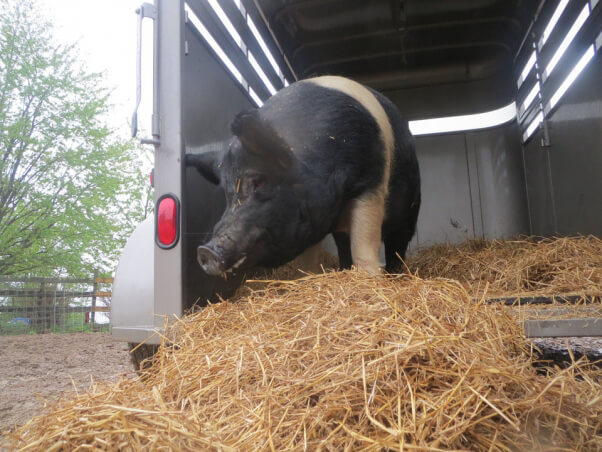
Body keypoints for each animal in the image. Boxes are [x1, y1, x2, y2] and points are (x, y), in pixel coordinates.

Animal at [186, 75, 418, 276]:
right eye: (226, 194)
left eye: (258, 182)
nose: (205, 251)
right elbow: (309, 256)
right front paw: (307, 277)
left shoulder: (371, 182)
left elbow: (364, 238)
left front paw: (370, 277)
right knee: (343, 243)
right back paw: (344, 268)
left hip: (411, 209)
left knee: (398, 242)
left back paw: (396, 273)